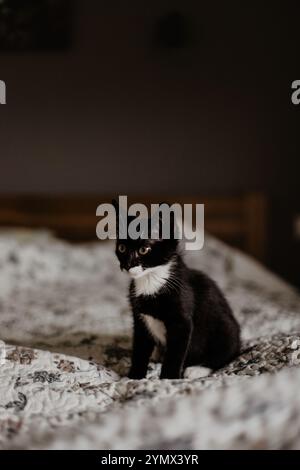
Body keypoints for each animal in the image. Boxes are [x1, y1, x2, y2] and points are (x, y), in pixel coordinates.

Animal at [113, 201, 241, 378]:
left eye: (144, 250)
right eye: (122, 248)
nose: (127, 265)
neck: (151, 279)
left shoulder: (182, 321)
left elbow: (175, 354)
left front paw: (168, 378)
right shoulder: (140, 317)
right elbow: (140, 348)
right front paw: (135, 375)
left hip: (226, 329)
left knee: (227, 354)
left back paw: (197, 369)